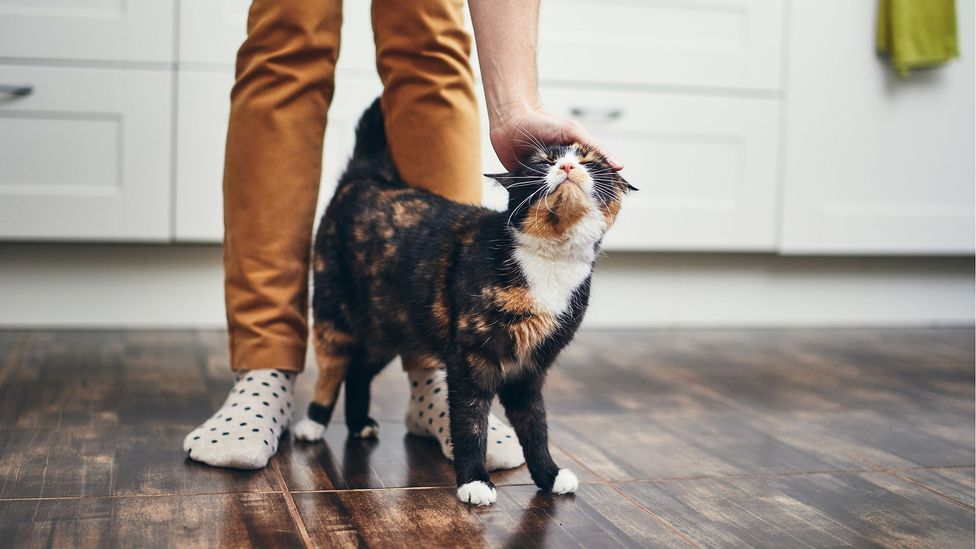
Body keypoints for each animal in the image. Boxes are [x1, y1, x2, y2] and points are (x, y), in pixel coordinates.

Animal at [298, 99, 632, 506]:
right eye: (543, 162)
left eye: (589, 162)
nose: (567, 167)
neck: (550, 260)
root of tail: (366, 177)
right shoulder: (471, 358)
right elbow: (470, 422)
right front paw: (474, 481)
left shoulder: (530, 369)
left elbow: (535, 426)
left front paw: (549, 475)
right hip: (334, 314)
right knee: (333, 368)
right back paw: (313, 422)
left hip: (389, 327)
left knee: (359, 370)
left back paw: (359, 423)